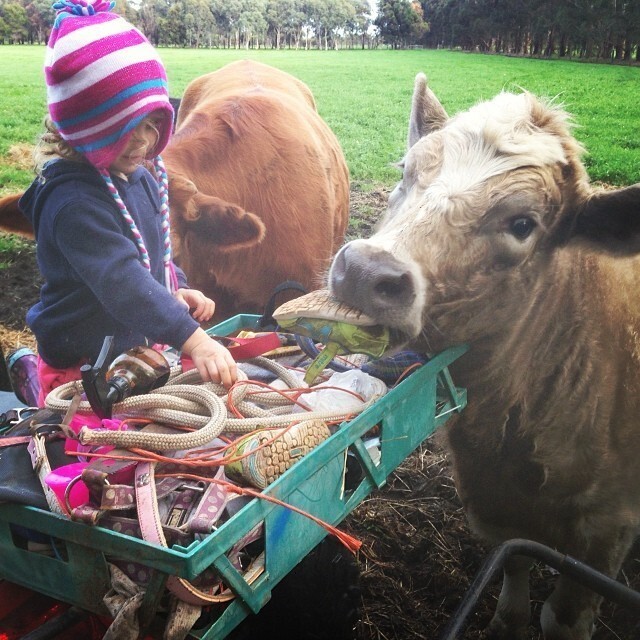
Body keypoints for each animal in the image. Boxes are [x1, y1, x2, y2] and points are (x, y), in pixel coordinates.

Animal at [328, 74, 640, 636]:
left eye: (523, 224)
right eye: (406, 172)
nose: (363, 270)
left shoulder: (608, 532)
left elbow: (562, 618)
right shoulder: (488, 499)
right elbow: (513, 564)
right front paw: (505, 622)